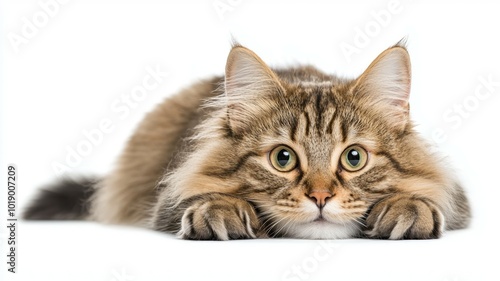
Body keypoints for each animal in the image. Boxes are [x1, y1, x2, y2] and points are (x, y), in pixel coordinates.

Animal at [23, 41, 470, 238]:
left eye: (354, 158)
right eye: (283, 159)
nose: (321, 197)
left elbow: (427, 198)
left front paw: (407, 209)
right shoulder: (168, 196)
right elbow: (202, 199)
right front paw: (221, 211)